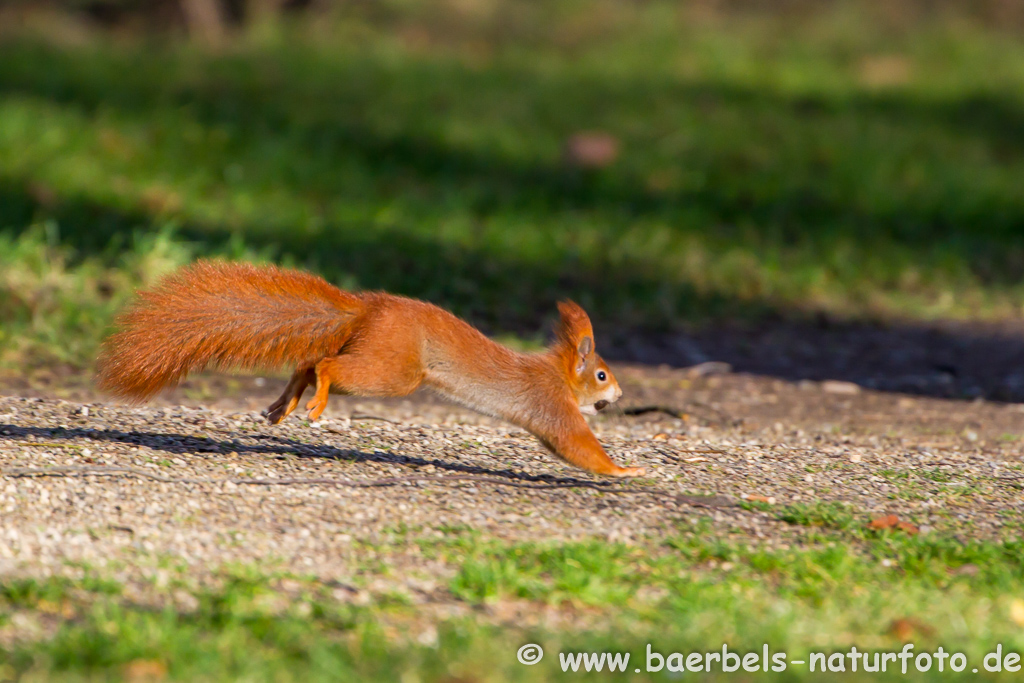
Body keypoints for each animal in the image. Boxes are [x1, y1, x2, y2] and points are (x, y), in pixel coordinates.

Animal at [94, 259, 638, 479]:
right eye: (602, 374)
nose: (620, 398)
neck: (561, 375)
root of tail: (367, 310)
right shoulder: (550, 403)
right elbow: (576, 444)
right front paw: (625, 468)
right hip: (395, 371)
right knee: (327, 363)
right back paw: (314, 403)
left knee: (308, 361)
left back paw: (284, 404)